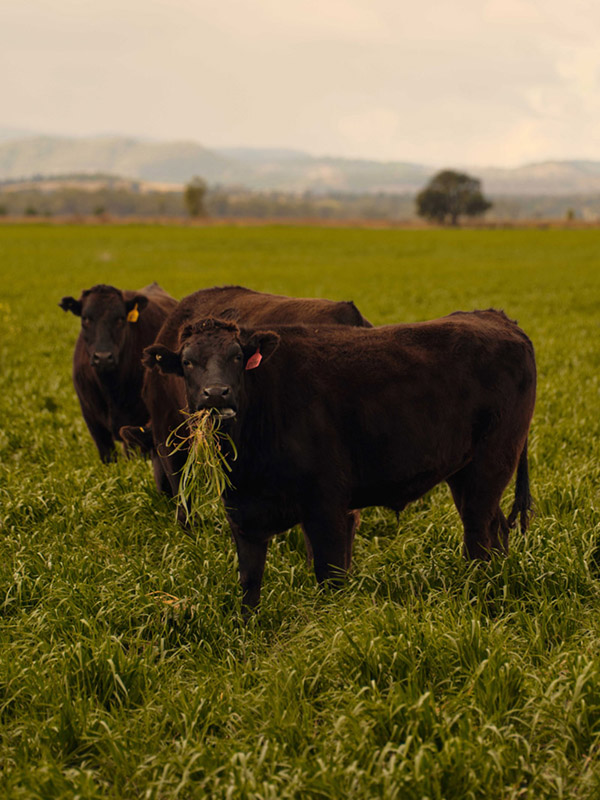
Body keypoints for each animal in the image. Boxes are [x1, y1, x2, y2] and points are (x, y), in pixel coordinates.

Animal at [143, 309, 536, 610]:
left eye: (237, 358)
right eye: (188, 362)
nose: (216, 393)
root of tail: (498, 319)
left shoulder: (326, 506)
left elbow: (330, 576)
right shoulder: (243, 515)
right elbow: (249, 586)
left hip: (491, 463)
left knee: (478, 536)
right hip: (467, 472)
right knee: (496, 529)